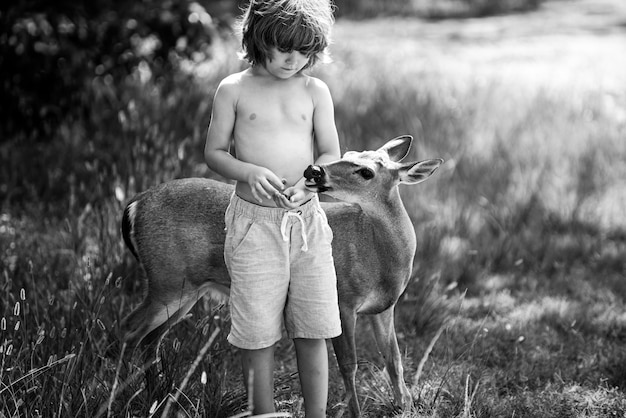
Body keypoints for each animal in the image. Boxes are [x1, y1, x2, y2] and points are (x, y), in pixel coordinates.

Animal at [119, 136, 442, 416]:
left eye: (366, 171)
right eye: (348, 153)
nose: (315, 170)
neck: (380, 258)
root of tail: (135, 203)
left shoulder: (384, 308)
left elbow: (394, 360)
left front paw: (404, 407)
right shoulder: (343, 300)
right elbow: (349, 364)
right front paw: (357, 413)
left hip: (185, 288)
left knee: (150, 339)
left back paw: (158, 395)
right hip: (167, 279)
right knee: (129, 328)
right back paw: (123, 397)